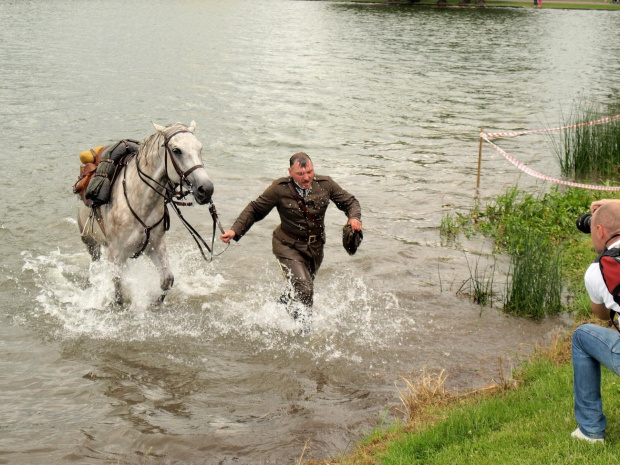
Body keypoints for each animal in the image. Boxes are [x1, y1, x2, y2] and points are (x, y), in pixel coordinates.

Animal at [77, 121, 214, 302]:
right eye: (176, 150)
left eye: (200, 148)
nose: (206, 189)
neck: (140, 203)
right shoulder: (116, 254)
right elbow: (119, 294)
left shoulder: (155, 246)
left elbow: (167, 280)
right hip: (90, 243)